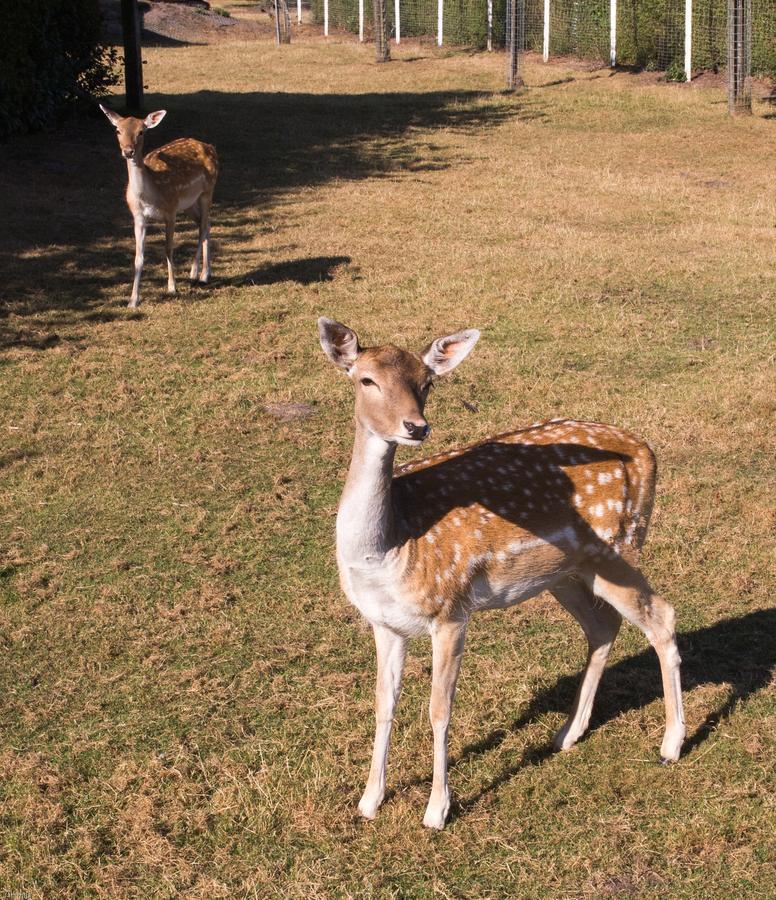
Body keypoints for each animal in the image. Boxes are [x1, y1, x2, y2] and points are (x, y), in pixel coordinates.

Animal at [99, 105, 218, 308]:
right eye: (117, 130)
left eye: (141, 131)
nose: (128, 151)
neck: (150, 195)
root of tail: (211, 147)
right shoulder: (138, 217)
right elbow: (138, 257)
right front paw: (133, 300)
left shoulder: (170, 210)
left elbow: (168, 248)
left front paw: (172, 288)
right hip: (188, 203)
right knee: (205, 224)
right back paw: (200, 273)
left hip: (207, 190)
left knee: (203, 226)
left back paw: (199, 275)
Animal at [318, 316, 688, 828]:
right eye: (365, 379)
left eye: (426, 382)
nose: (415, 426)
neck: (390, 545)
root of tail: (649, 452)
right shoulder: (384, 622)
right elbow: (383, 704)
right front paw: (369, 800)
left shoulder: (451, 609)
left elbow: (439, 710)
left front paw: (437, 810)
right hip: (566, 572)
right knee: (603, 625)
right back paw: (567, 734)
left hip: (615, 548)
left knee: (662, 616)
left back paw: (671, 745)